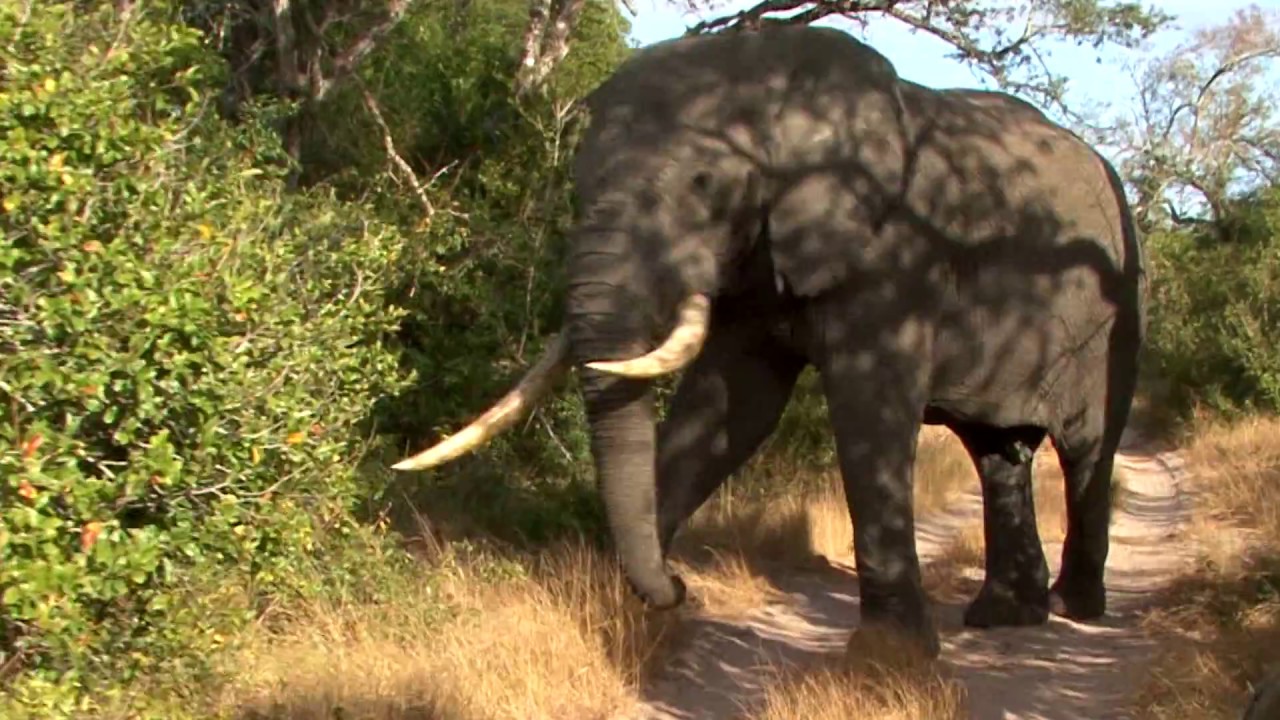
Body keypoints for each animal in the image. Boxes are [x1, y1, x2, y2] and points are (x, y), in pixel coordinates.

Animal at [392, 24, 1147, 658]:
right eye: (577, 188)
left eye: (704, 184)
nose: (681, 588)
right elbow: (729, 408)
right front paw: (621, 606)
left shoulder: (896, 255)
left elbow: (869, 413)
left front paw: (889, 658)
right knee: (998, 454)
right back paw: (1005, 616)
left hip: (1116, 302)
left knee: (1086, 450)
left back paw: (1075, 607)